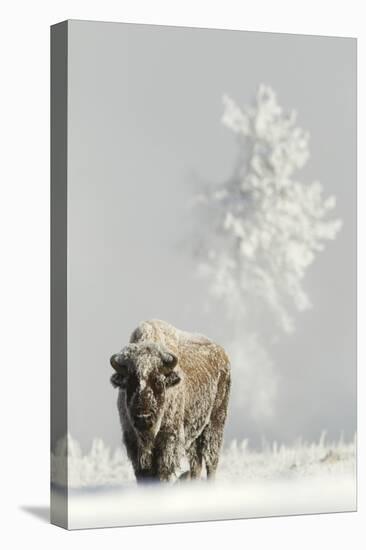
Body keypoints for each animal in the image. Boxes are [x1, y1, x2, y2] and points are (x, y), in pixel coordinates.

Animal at [109, 320, 232, 484]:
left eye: (158, 381)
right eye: (130, 382)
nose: (143, 418)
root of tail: (223, 355)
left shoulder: (168, 440)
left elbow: (163, 472)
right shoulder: (133, 441)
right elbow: (143, 473)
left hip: (215, 423)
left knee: (211, 461)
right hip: (194, 433)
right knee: (196, 462)